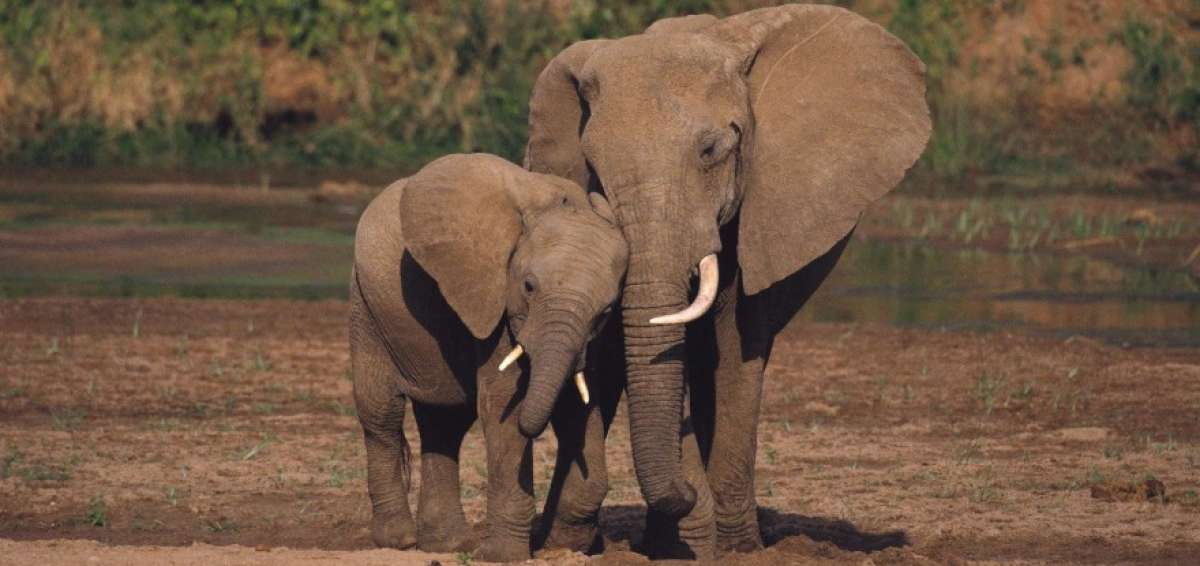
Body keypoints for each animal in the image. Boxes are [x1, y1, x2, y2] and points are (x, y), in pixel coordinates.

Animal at [350, 153, 629, 561]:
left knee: (444, 423)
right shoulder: (494, 300)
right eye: (528, 287)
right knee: (381, 413)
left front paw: (563, 547)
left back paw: (448, 545)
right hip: (367, 306)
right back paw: (399, 540)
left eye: (606, 310)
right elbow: (502, 407)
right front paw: (504, 556)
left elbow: (579, 405)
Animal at [524, 4, 931, 559]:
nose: (687, 492)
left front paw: (731, 547)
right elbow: (618, 349)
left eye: (711, 150)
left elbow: (737, 345)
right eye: (594, 167)